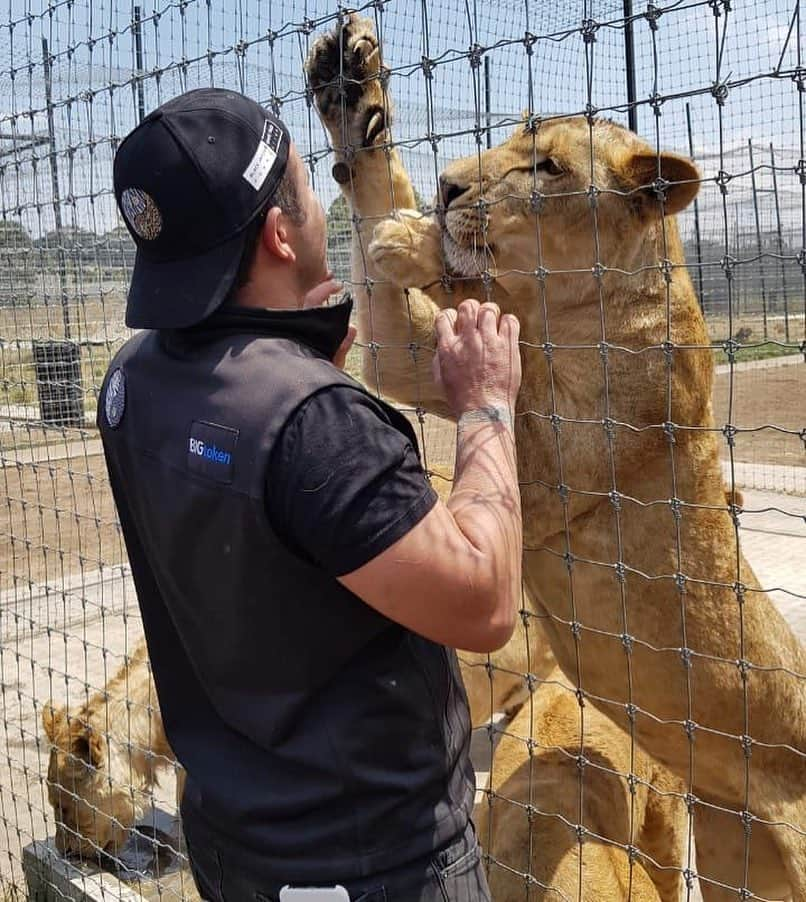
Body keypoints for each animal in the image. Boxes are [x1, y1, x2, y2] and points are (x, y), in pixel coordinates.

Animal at [308, 14, 806, 902]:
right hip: (730, 858)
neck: (558, 304)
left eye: (546, 167)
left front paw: (420, 243)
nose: (449, 187)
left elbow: (477, 319)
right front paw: (350, 91)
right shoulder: (414, 363)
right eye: (508, 139)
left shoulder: (560, 460)